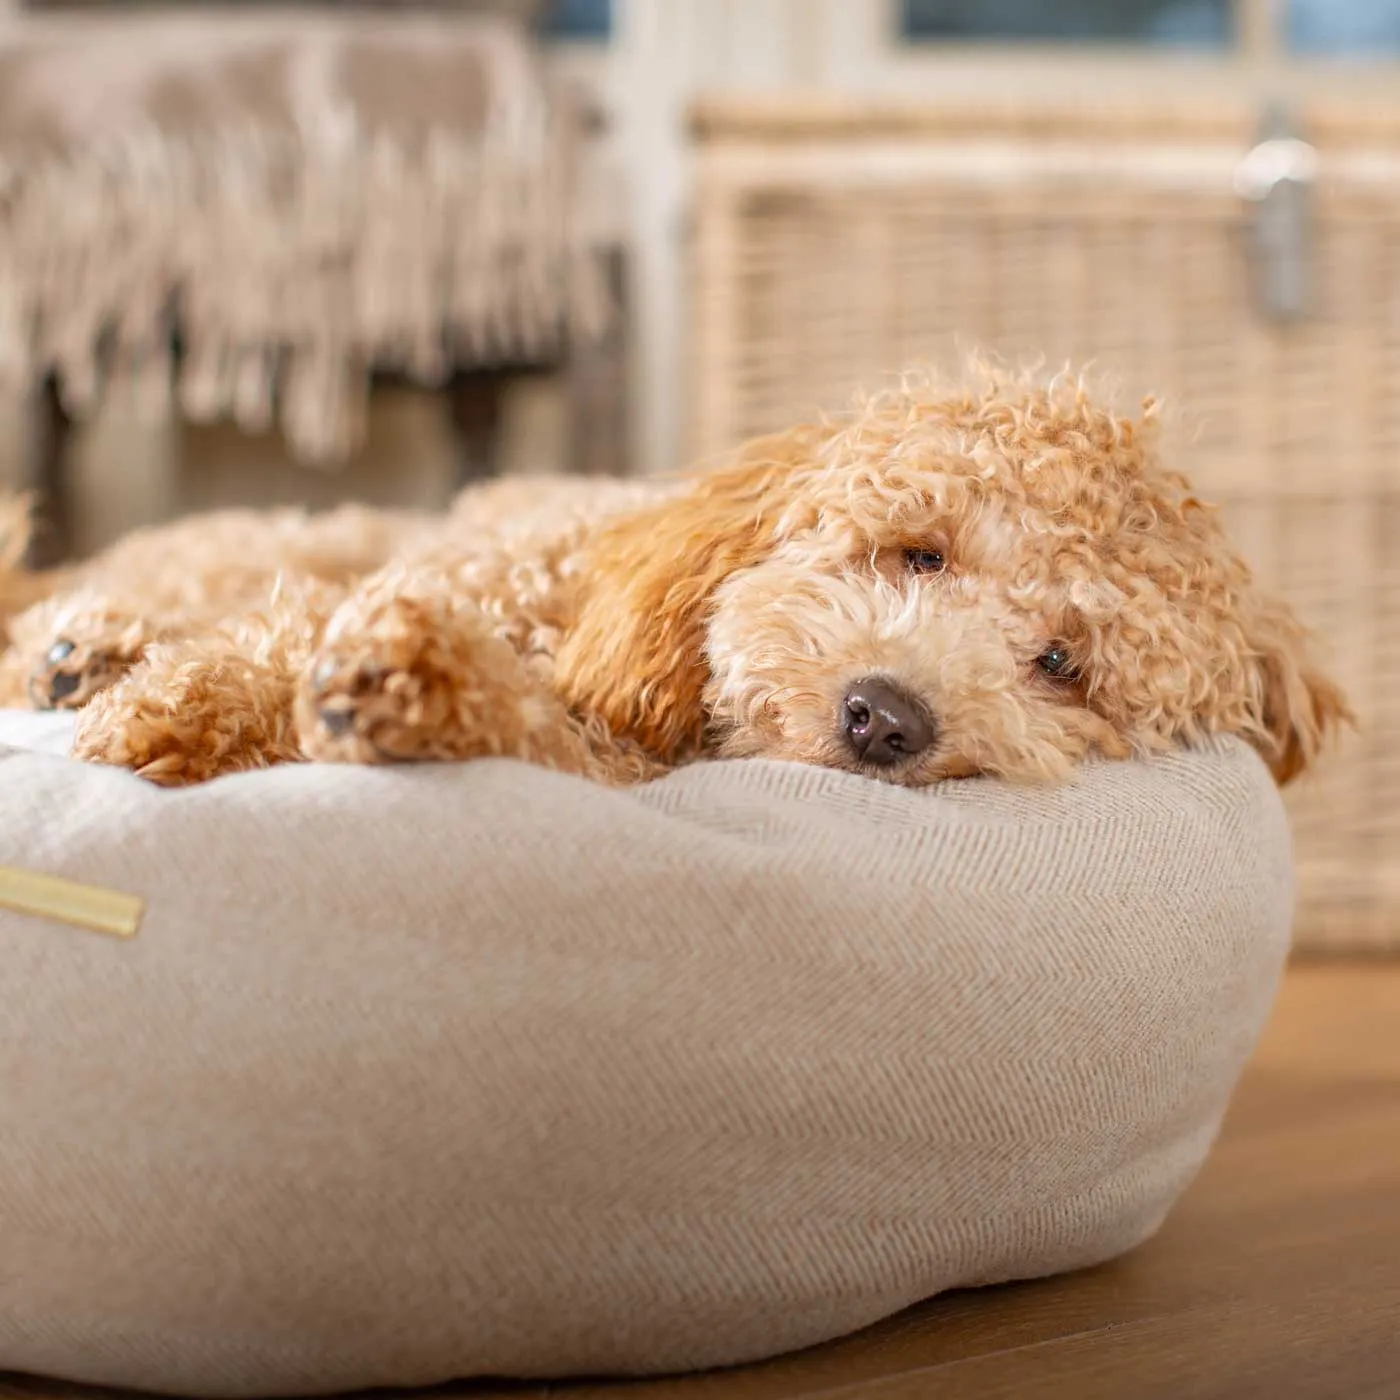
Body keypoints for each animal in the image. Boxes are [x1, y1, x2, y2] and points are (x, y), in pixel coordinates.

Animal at [0, 364, 1349, 789]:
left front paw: (406, 684)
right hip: (274, 538)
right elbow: (277, 642)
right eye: (918, 550)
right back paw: (84, 652)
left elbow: (516, 720)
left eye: (1061, 664)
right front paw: (188, 704)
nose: (883, 715)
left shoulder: (605, 762)